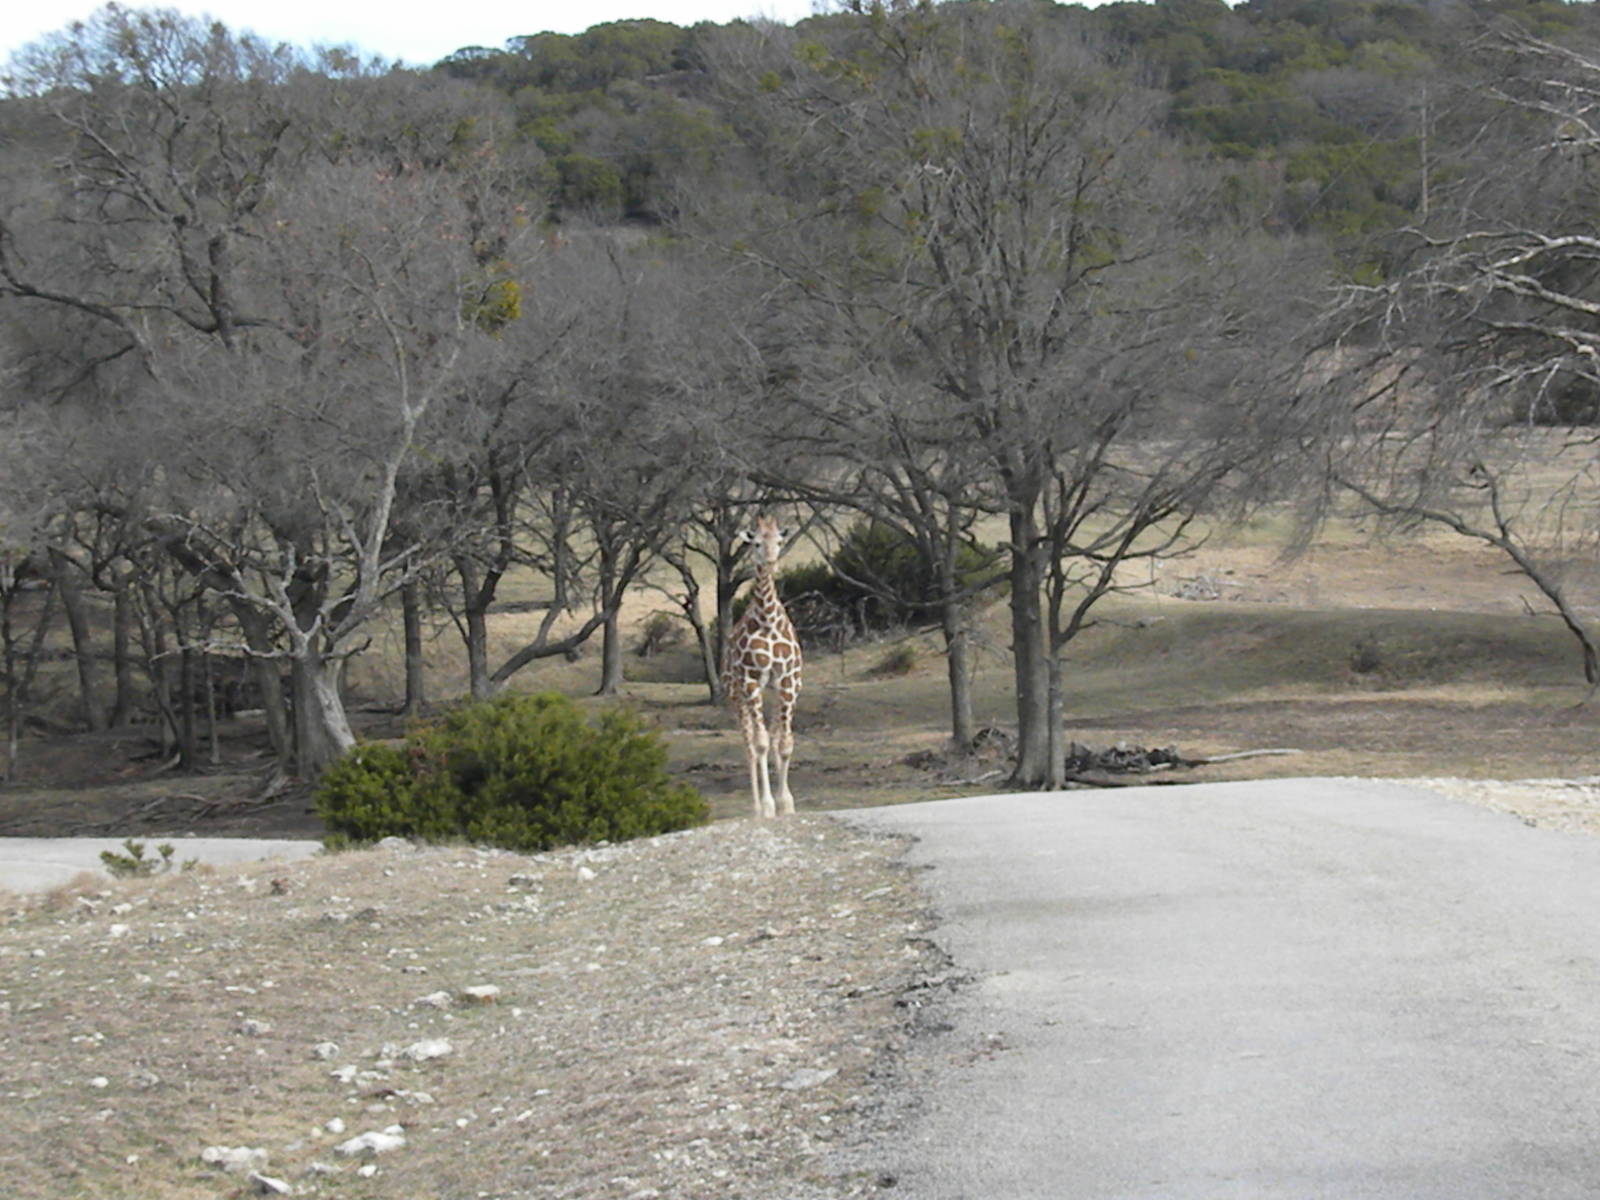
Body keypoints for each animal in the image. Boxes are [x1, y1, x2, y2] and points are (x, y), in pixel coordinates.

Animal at [722, 515, 803, 818]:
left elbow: (784, 742)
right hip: (736, 695)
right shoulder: (751, 681)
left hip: (773, 692)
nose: (770, 561)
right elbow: (760, 743)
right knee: (749, 744)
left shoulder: (788, 681)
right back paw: (756, 807)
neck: (767, 621)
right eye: (756, 543)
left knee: (774, 733)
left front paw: (786, 803)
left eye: (779, 540)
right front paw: (768, 806)